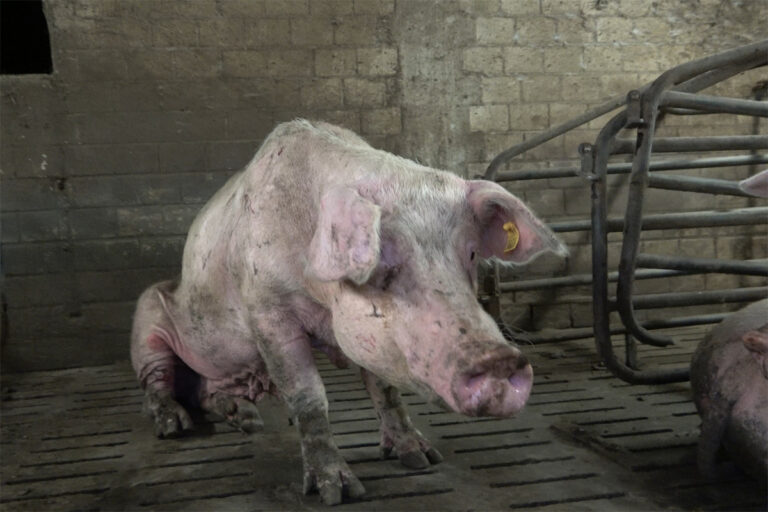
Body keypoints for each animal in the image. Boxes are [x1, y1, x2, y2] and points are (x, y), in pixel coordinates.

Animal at [130, 120, 567, 504]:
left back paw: (248, 418)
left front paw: (421, 458)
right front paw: (337, 492)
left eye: (472, 254)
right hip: (146, 323)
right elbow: (308, 396)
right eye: (380, 263)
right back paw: (174, 427)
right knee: (158, 384)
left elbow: (385, 389)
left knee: (206, 392)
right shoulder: (268, 311)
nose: (499, 359)